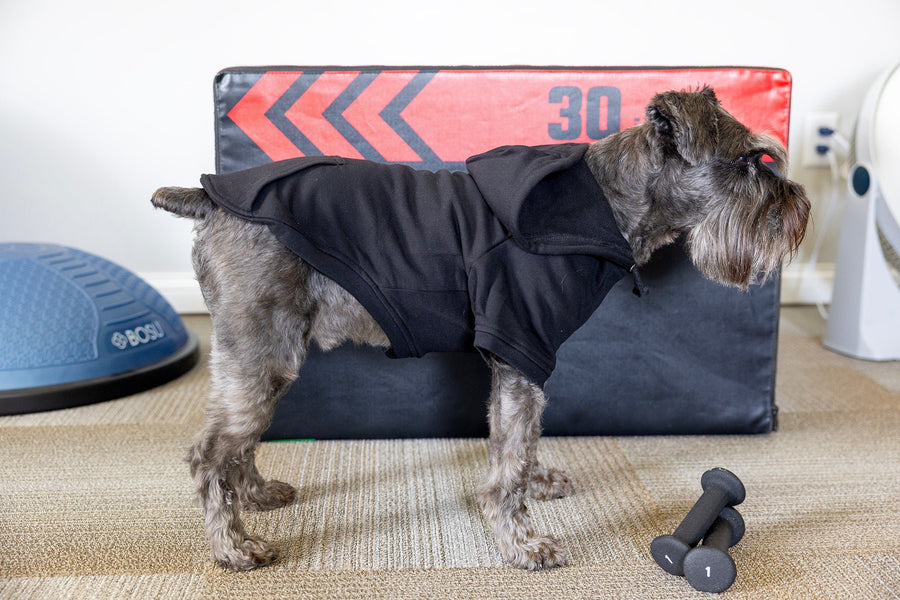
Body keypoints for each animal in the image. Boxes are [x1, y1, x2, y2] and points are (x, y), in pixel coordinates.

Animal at [153, 88, 808, 572]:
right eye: (749, 160)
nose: (799, 208)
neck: (607, 203)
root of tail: (208, 199)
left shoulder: (511, 364)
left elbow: (516, 442)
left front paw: (537, 485)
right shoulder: (522, 353)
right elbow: (508, 464)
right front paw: (523, 545)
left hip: (261, 358)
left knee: (235, 442)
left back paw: (257, 496)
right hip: (265, 351)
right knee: (209, 453)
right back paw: (234, 547)